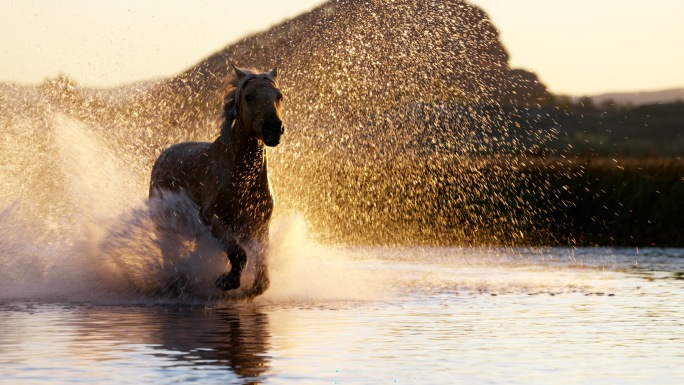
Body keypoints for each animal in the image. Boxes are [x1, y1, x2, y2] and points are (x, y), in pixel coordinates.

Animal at [150, 66, 286, 296]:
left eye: (279, 96)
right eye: (249, 97)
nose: (273, 128)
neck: (241, 178)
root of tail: (164, 155)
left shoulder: (258, 223)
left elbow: (259, 260)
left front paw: (252, 286)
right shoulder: (211, 217)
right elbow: (237, 252)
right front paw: (227, 281)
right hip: (165, 223)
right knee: (168, 251)